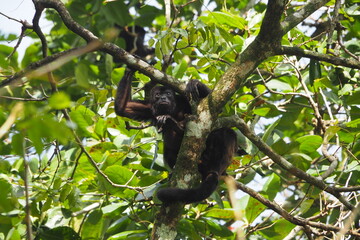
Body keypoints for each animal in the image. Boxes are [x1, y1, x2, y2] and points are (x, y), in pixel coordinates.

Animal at [115, 69, 238, 202]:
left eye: (168, 94)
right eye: (158, 95)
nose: (163, 98)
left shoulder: (183, 100)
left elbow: (216, 106)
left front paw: (195, 83)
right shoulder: (148, 107)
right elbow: (122, 108)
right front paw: (129, 70)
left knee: (227, 133)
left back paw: (215, 168)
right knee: (168, 149)